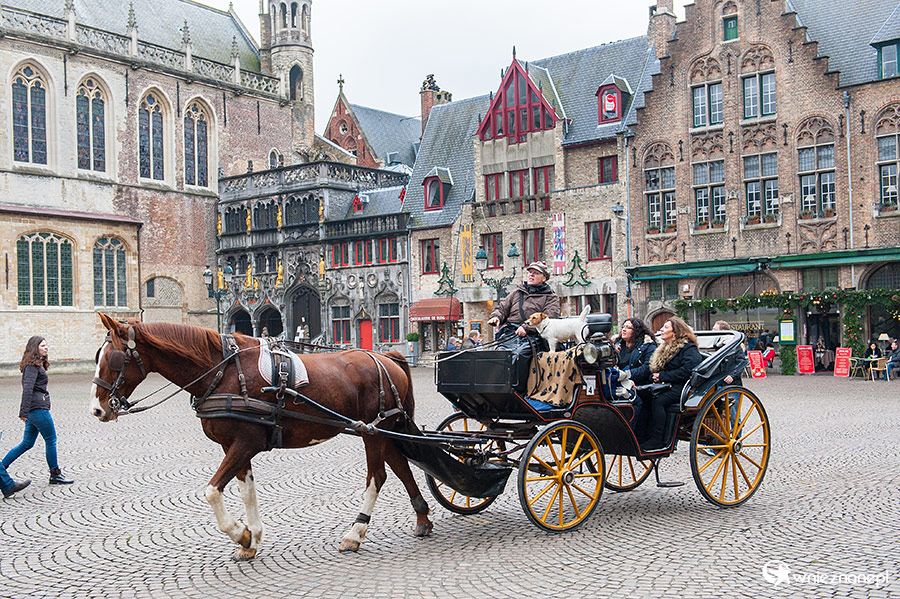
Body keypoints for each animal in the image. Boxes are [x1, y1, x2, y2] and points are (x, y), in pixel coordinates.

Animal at [89, 313, 433, 560]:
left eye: (113, 359)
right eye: (97, 356)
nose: (96, 409)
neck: (222, 372)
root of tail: (387, 358)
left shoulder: (246, 443)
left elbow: (212, 491)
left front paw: (239, 533)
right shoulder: (234, 445)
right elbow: (247, 492)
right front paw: (250, 540)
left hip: (371, 432)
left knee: (377, 476)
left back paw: (354, 534)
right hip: (382, 429)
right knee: (402, 466)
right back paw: (422, 519)